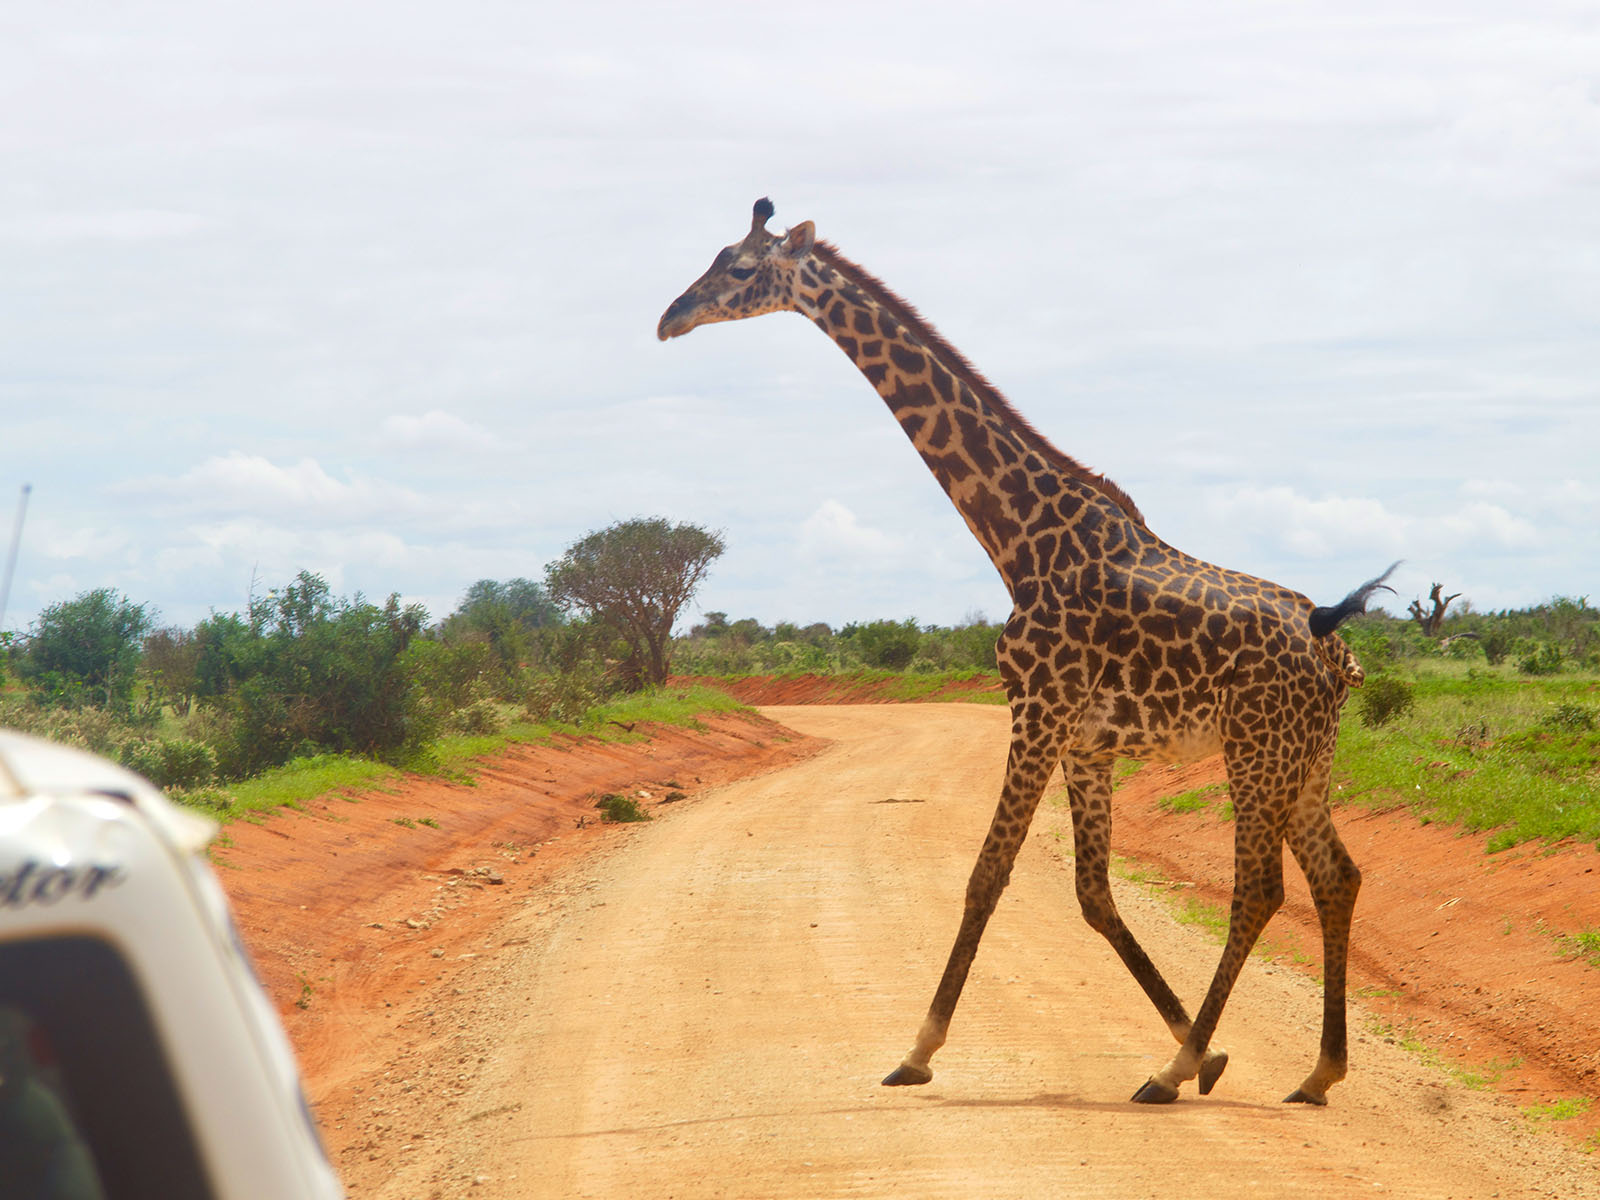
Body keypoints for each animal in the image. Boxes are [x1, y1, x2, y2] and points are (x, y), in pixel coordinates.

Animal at [656, 200, 1395, 1107]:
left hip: (1256, 750)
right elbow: (1091, 895)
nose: (669, 318)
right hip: (1305, 758)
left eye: (735, 268)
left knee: (1260, 889)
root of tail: (1336, 652)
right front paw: (1211, 1054)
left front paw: (918, 1050)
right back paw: (1315, 1071)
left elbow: (988, 873)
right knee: (1337, 877)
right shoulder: (1086, 739)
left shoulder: (1039, 711)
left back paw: (1172, 1072)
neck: (1019, 540)